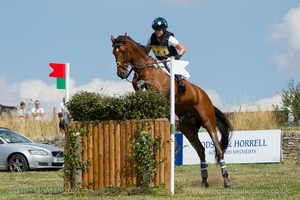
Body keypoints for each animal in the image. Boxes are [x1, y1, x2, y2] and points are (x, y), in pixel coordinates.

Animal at [110, 33, 232, 188]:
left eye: (123, 50)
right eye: (114, 52)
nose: (121, 73)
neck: (146, 68)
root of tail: (205, 96)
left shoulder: (160, 89)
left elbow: (147, 84)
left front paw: (143, 82)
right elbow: (137, 85)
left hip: (208, 121)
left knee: (218, 148)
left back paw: (226, 180)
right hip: (187, 128)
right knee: (201, 150)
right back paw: (204, 180)